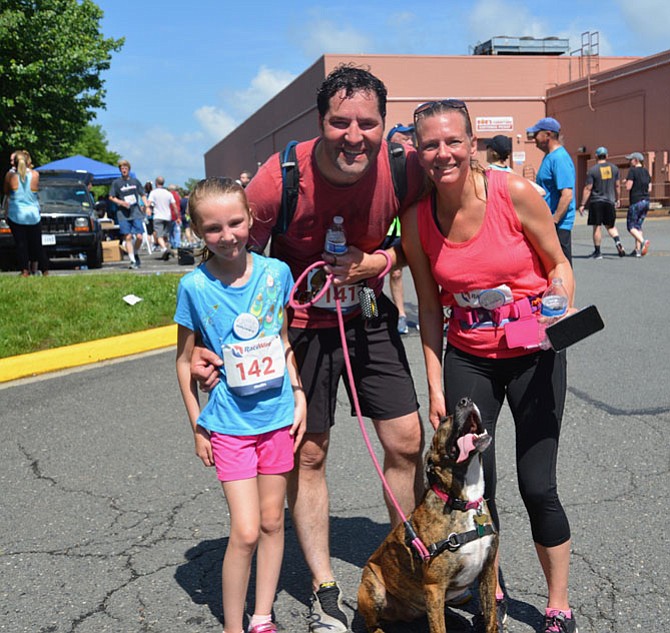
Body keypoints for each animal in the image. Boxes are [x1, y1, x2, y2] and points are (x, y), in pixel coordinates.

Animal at [356, 398, 498, 628]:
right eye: (444, 419)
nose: (465, 400)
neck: (463, 502)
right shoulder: (434, 586)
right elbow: (439, 628)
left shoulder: (488, 571)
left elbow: (491, 619)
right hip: (371, 586)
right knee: (372, 624)